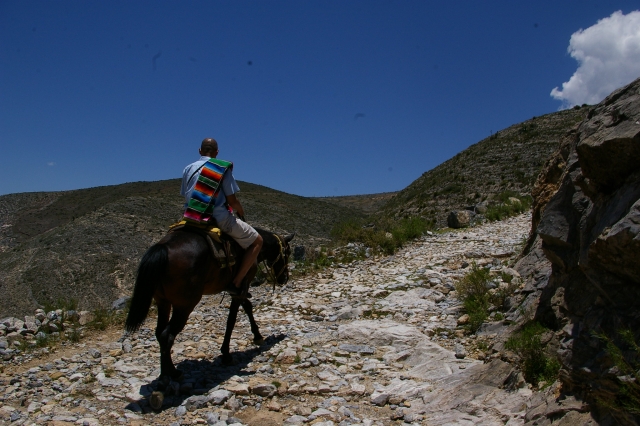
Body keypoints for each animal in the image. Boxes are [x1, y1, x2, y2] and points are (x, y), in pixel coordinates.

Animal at [123, 228, 292, 384]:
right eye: (288, 253)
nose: (284, 278)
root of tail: (163, 248)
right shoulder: (240, 287)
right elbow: (232, 320)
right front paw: (226, 354)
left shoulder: (239, 290)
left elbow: (248, 307)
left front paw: (257, 335)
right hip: (184, 305)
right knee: (167, 335)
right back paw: (170, 374)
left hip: (162, 302)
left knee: (159, 332)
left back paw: (166, 372)